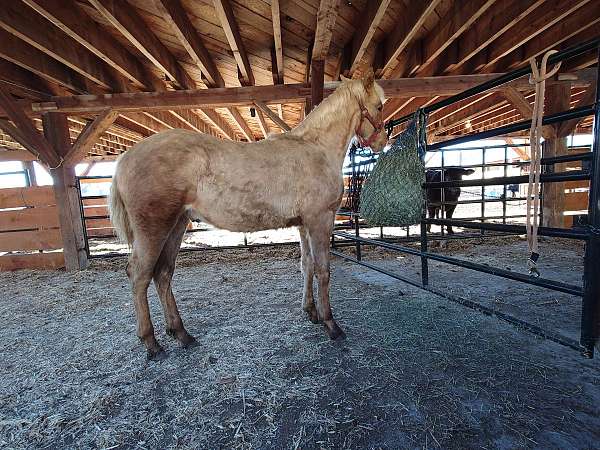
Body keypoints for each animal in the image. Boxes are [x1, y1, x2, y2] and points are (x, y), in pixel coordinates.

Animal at [109, 70, 386, 358]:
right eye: (379, 106)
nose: (382, 142)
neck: (316, 148)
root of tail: (125, 159)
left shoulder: (304, 225)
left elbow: (307, 265)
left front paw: (311, 312)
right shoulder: (320, 220)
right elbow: (323, 270)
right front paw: (330, 323)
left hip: (177, 225)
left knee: (163, 273)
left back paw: (181, 333)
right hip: (154, 230)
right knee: (139, 275)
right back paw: (151, 342)